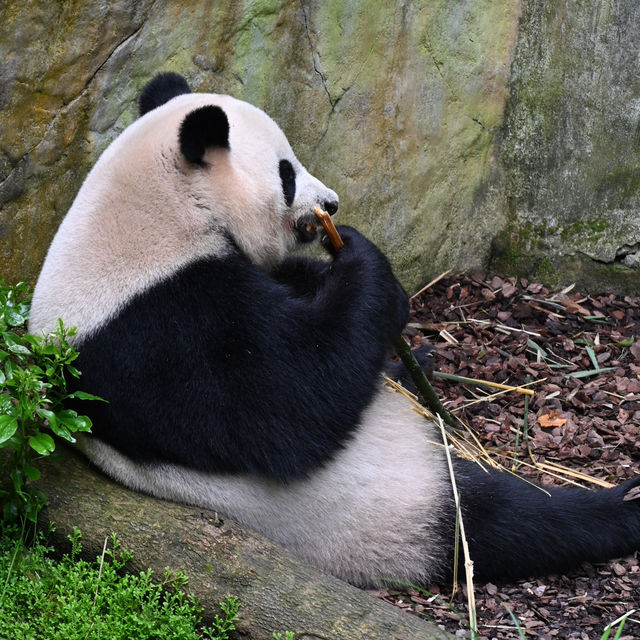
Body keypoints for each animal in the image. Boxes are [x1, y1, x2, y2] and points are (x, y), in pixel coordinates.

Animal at [28, 72, 640, 588]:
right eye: (286, 171)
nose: (331, 203)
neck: (157, 213)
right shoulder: (163, 328)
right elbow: (288, 404)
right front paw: (365, 261)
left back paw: (415, 366)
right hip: (384, 509)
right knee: (494, 520)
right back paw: (614, 509)